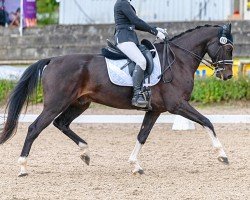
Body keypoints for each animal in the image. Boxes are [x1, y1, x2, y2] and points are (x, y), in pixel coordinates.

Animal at [0, 23, 234, 177]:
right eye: (228, 47)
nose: (228, 76)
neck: (178, 61)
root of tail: (53, 59)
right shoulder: (177, 105)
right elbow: (207, 122)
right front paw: (222, 156)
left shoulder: (155, 110)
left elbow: (142, 136)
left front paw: (135, 165)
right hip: (56, 103)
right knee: (35, 128)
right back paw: (23, 167)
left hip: (79, 103)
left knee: (61, 123)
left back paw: (85, 153)